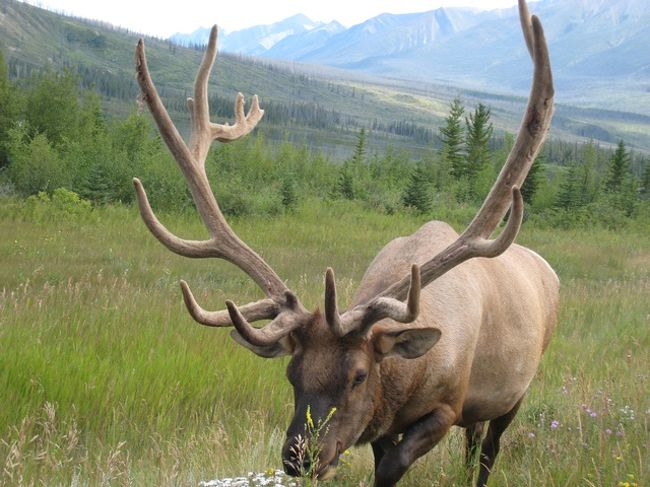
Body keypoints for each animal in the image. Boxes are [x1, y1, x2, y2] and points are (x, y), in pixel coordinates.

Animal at [133, 1, 556, 486]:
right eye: (292, 374)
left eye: (358, 375)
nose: (300, 456)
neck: (402, 382)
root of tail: (548, 271)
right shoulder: (382, 423)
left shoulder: (447, 406)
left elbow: (391, 467)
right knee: (474, 444)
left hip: (516, 392)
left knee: (488, 450)